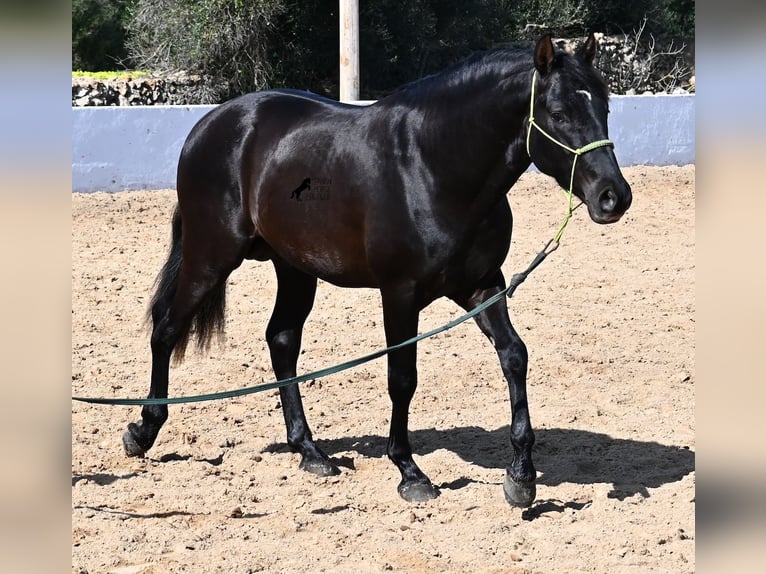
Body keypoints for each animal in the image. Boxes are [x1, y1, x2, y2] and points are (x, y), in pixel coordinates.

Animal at [123, 35, 632, 508]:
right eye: (559, 112)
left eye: (604, 106)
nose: (614, 197)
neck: (433, 165)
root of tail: (209, 125)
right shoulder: (400, 292)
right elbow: (402, 378)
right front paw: (410, 472)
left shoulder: (483, 285)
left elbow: (514, 356)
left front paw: (521, 477)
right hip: (212, 255)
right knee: (166, 329)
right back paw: (143, 431)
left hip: (294, 267)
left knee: (281, 340)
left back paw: (310, 451)